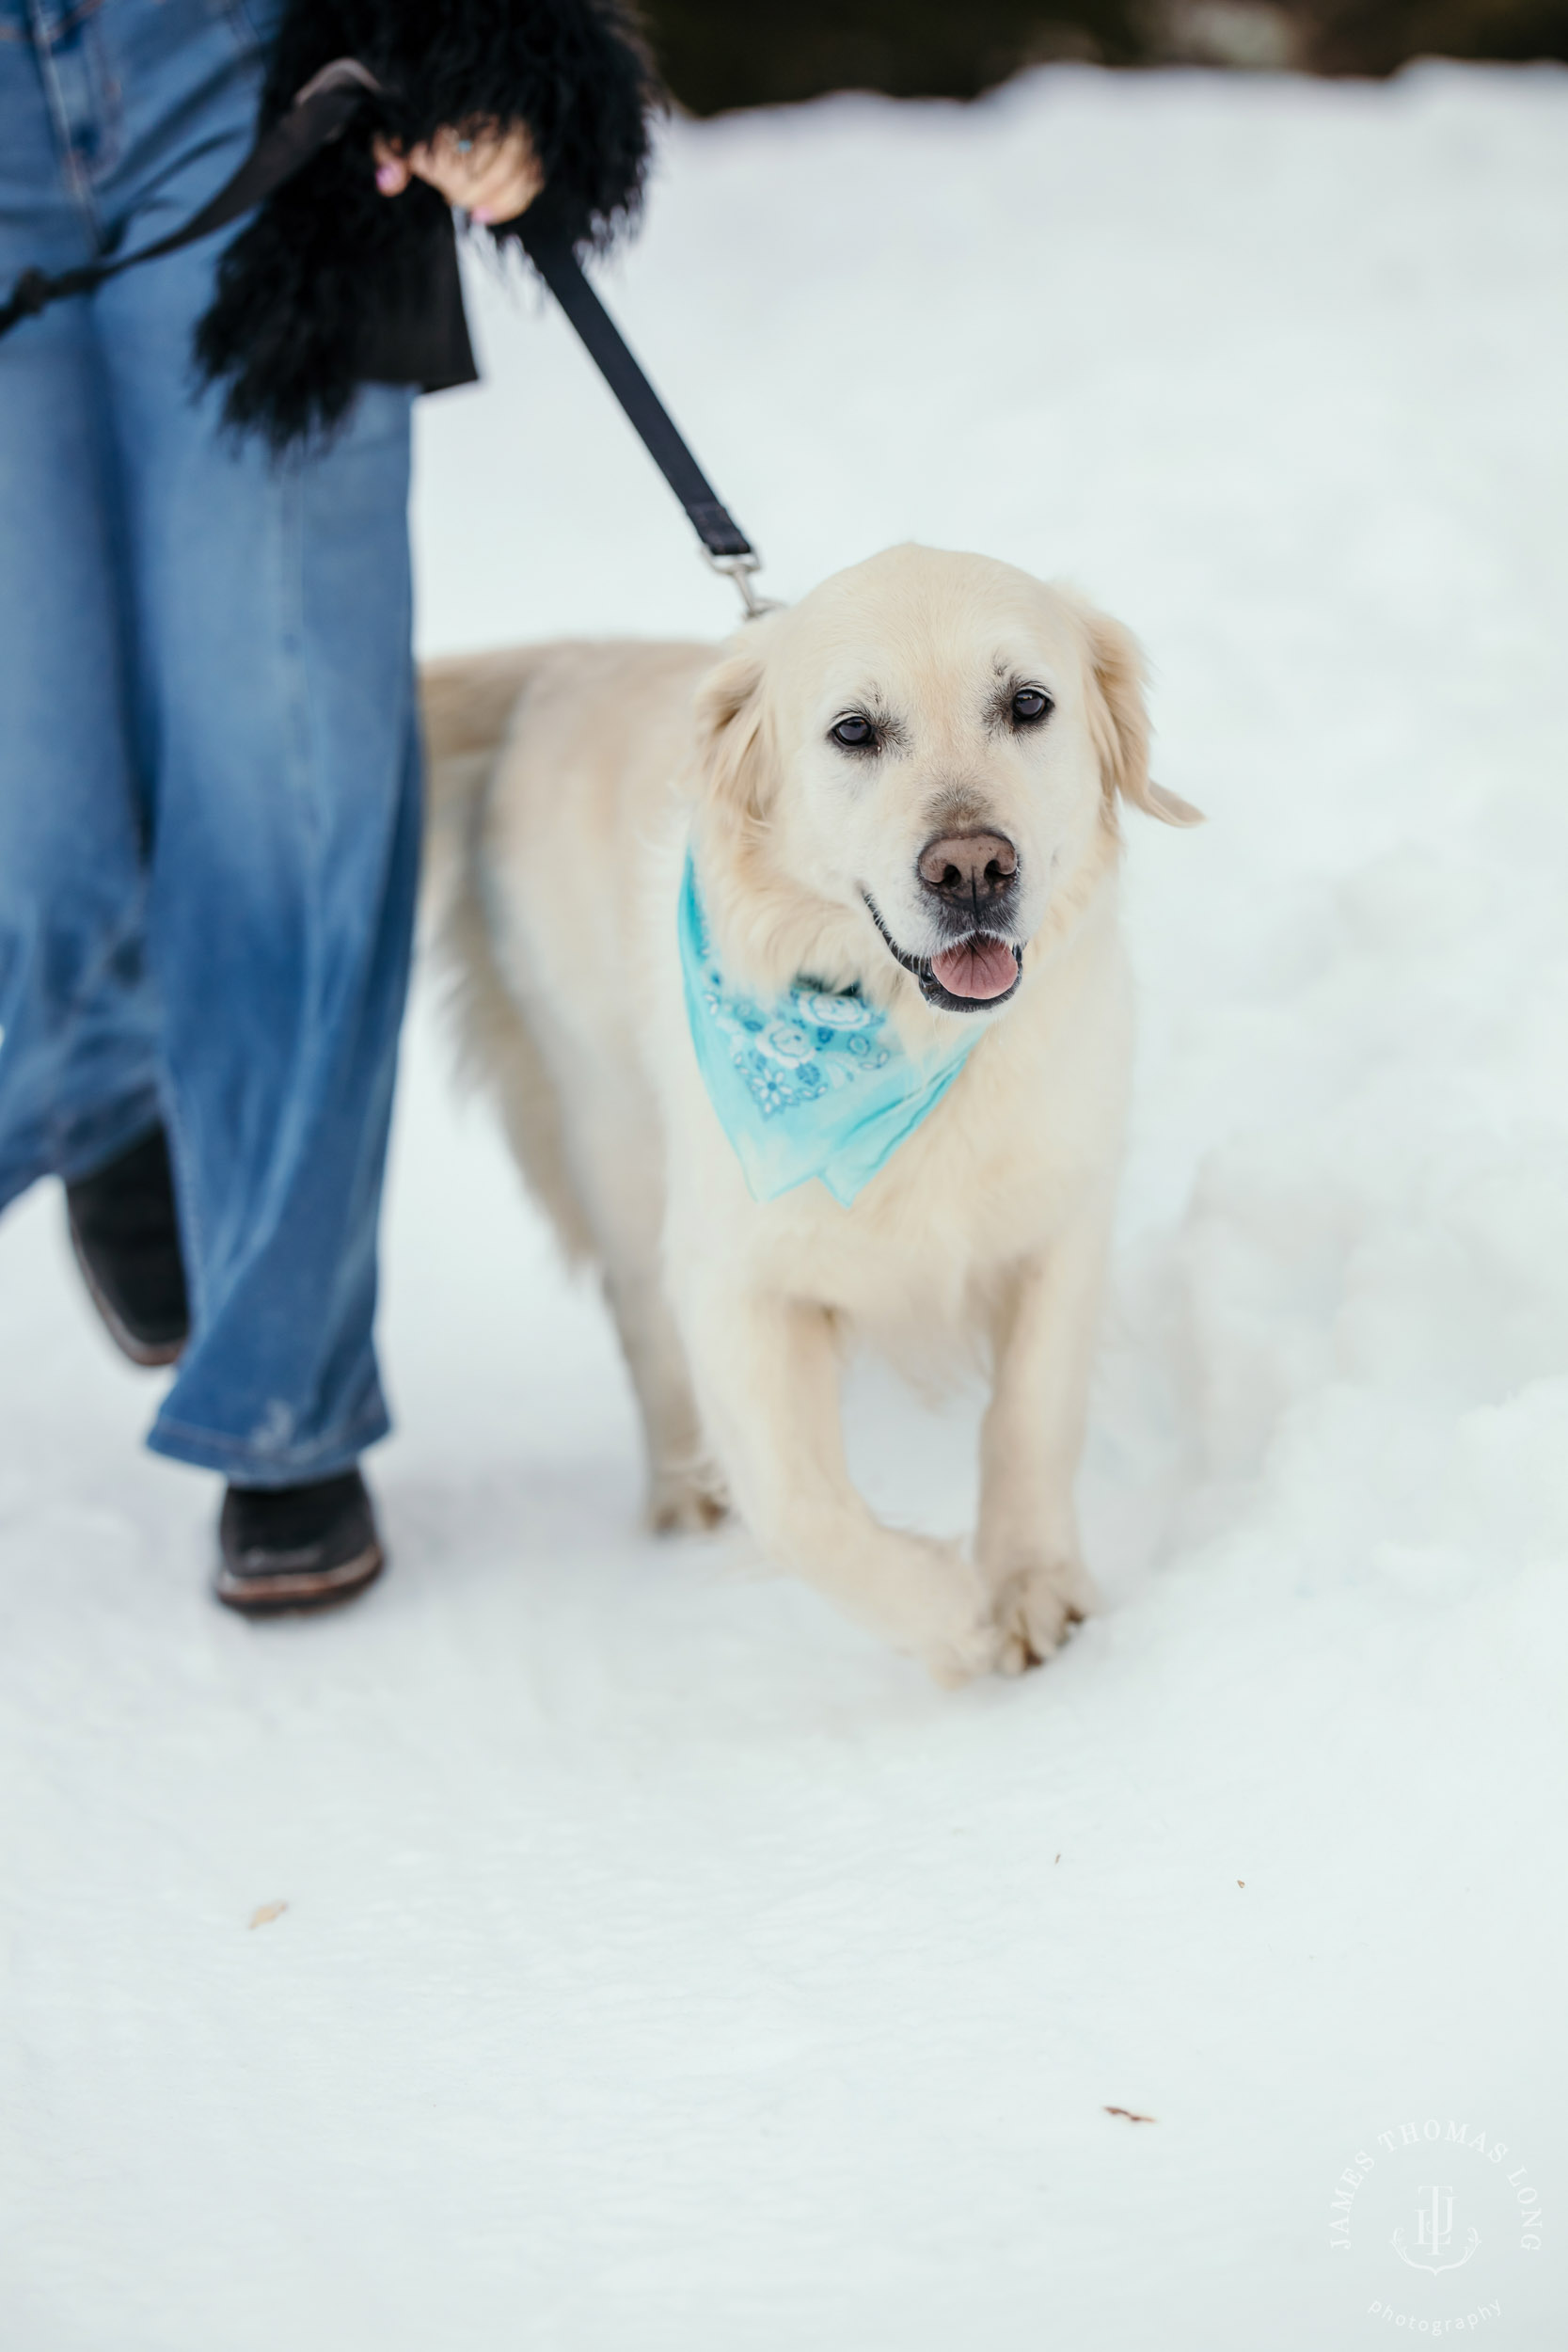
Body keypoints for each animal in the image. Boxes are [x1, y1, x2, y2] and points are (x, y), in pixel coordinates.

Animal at [420, 541, 1203, 1684]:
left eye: (1027, 702)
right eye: (853, 731)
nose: (971, 868)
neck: (905, 1040)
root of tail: (560, 664)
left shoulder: (1060, 1215)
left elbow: (1030, 1415)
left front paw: (1033, 1584)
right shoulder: (732, 1275)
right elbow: (800, 1506)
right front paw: (949, 1613)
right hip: (609, 1123)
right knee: (641, 1321)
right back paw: (682, 1489)